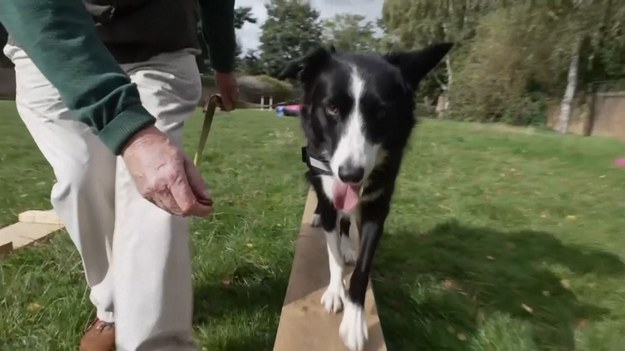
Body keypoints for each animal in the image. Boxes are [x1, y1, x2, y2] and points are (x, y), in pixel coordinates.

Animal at [280, 42, 450, 350]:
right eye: (332, 108)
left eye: (381, 112)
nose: (350, 174)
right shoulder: (328, 191)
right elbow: (332, 251)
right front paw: (335, 291)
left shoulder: (376, 208)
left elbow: (361, 268)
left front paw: (354, 323)